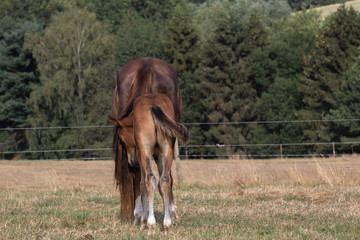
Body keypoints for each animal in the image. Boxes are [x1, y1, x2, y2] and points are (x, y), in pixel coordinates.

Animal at [109, 94, 188, 234]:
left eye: (121, 139)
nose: (132, 161)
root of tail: (153, 105)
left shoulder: (141, 156)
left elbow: (142, 184)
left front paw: (143, 221)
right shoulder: (159, 156)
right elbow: (163, 185)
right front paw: (170, 217)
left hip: (144, 151)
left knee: (150, 179)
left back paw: (150, 225)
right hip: (166, 149)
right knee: (165, 179)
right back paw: (167, 225)